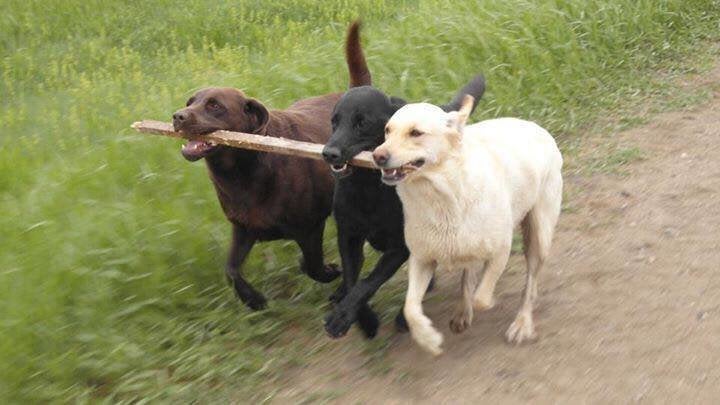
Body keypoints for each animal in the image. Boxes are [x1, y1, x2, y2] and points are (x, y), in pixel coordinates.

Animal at [320, 76, 484, 338]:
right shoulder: (348, 237)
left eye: (362, 123)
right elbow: (353, 279)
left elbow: (367, 283)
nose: (329, 153)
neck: (368, 187)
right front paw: (364, 321)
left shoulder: (399, 246)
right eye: (334, 121)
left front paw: (343, 317)